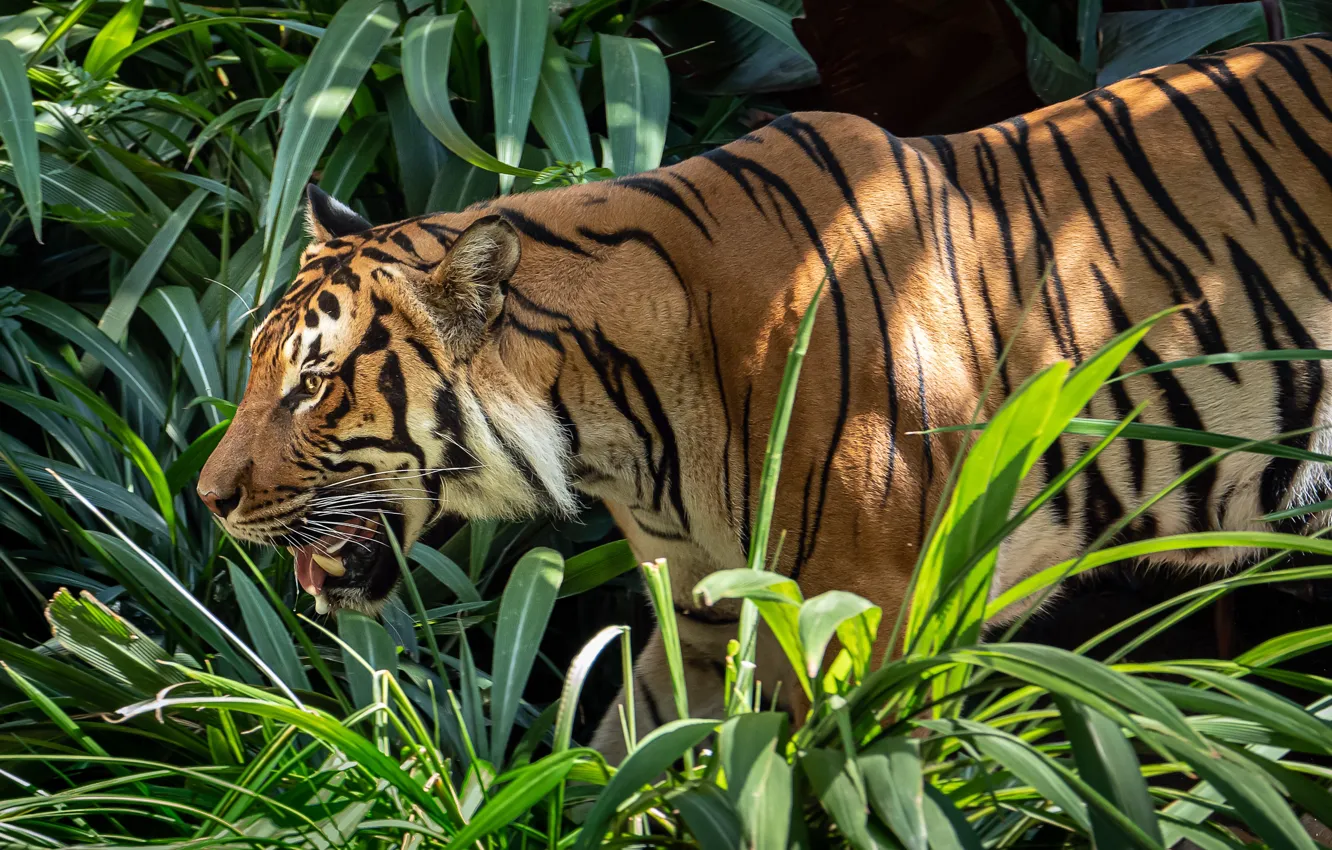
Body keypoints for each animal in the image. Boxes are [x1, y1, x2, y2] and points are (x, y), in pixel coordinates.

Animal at [198, 34, 1332, 762]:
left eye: (311, 385)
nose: (208, 499)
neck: (617, 426)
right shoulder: (701, 610)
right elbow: (627, 763)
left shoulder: (876, 612)